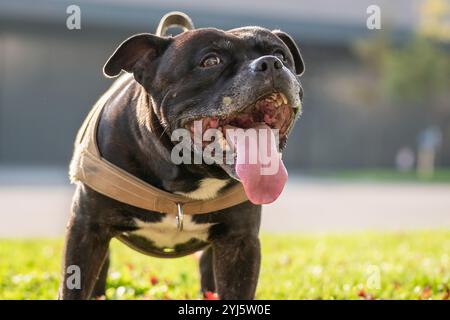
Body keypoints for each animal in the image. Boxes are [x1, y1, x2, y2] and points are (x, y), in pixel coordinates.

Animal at [59, 12, 304, 300]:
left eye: (281, 54)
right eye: (211, 61)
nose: (271, 64)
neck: (186, 176)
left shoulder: (240, 242)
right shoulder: (86, 230)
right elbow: (73, 288)